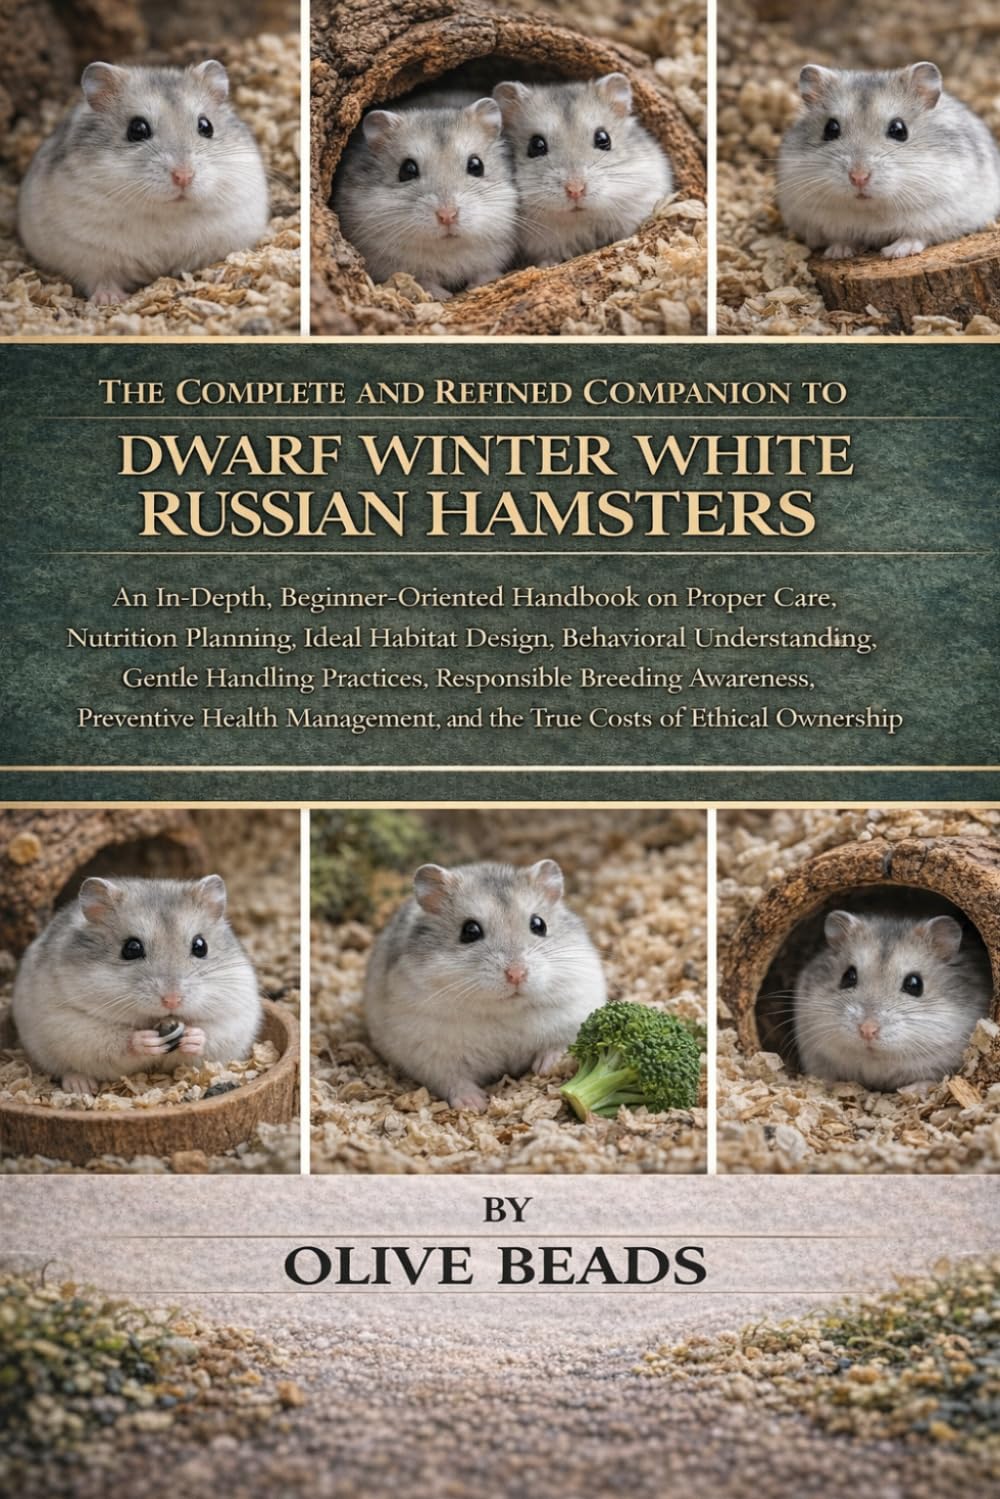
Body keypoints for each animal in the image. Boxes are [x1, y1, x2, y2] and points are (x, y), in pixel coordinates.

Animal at [11, 875, 262, 1096]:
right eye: (131, 948)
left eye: (201, 946)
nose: (172, 1000)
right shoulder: (68, 1022)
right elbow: (116, 1040)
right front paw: (146, 1041)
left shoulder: (236, 1015)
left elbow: (211, 1032)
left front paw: (192, 1036)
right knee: (68, 1069)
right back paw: (81, 1086)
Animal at [17, 59, 270, 304]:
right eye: (137, 129)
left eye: (206, 126)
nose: (184, 176)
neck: (168, 212)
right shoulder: (86, 253)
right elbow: (100, 277)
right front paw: (109, 300)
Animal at [333, 97, 518, 300]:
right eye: (407, 170)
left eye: (476, 165)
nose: (447, 216)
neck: (448, 248)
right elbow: (423, 280)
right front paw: (441, 295)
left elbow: (485, 271)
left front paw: (481, 283)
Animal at [363, 859, 606, 1112]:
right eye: (470, 931)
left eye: (539, 924)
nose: (517, 974)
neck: (503, 1010)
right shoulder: (430, 1053)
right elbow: (452, 1079)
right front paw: (475, 1105)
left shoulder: (573, 1013)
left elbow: (559, 1045)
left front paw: (549, 1066)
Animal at [777, 61, 1000, 260]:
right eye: (830, 129)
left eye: (899, 130)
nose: (858, 178)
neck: (870, 208)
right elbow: (841, 238)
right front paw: (836, 253)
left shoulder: (941, 213)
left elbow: (917, 234)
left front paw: (894, 252)